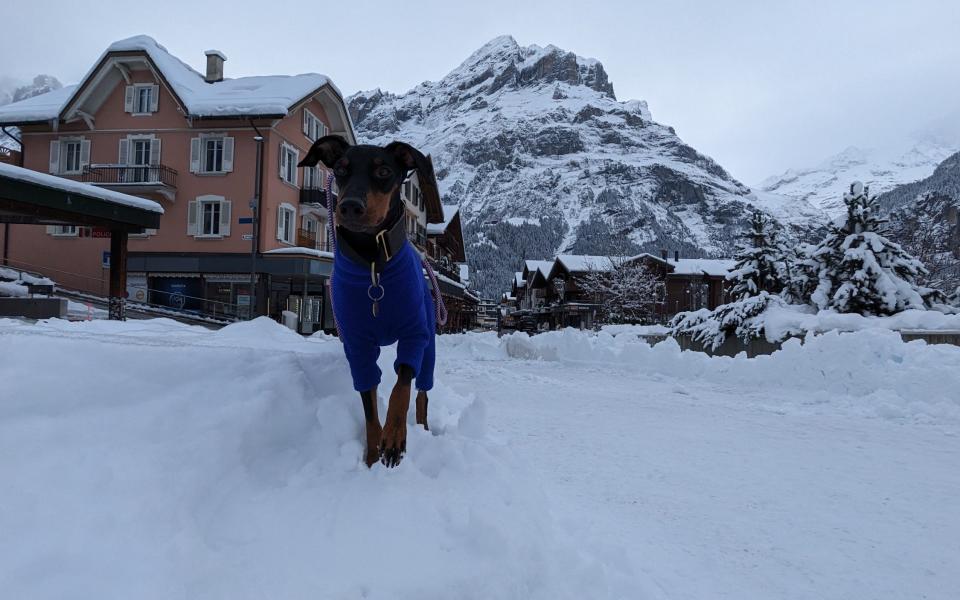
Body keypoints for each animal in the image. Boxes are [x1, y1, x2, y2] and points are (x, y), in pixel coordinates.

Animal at [298, 136, 440, 468]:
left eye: (384, 170)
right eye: (340, 168)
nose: (350, 206)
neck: (373, 260)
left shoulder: (414, 332)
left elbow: (402, 386)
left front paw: (395, 438)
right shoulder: (357, 344)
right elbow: (369, 406)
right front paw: (373, 454)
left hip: (429, 336)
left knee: (423, 389)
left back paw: (423, 426)